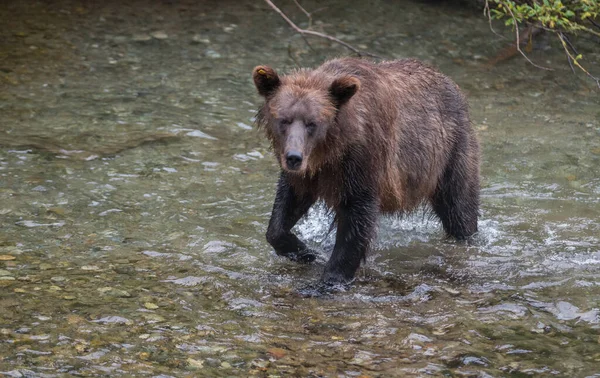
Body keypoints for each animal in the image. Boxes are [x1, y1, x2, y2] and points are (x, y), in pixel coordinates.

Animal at [251, 57, 480, 290]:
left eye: (312, 123)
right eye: (284, 120)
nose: (294, 157)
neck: (331, 151)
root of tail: (451, 83)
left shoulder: (362, 162)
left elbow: (356, 219)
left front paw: (330, 279)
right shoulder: (308, 175)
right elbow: (285, 207)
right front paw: (304, 251)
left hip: (450, 152)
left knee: (459, 207)